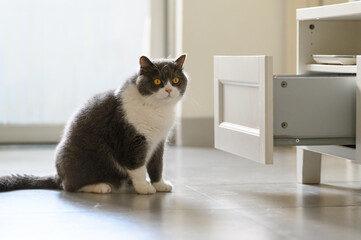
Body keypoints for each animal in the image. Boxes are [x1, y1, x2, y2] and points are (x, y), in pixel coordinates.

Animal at [0, 54, 186, 195]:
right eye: (157, 81)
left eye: (176, 80)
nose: (169, 90)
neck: (157, 110)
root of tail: (59, 175)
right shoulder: (132, 140)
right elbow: (137, 166)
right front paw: (143, 188)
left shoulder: (159, 142)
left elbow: (157, 165)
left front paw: (160, 185)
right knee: (69, 186)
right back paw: (100, 186)